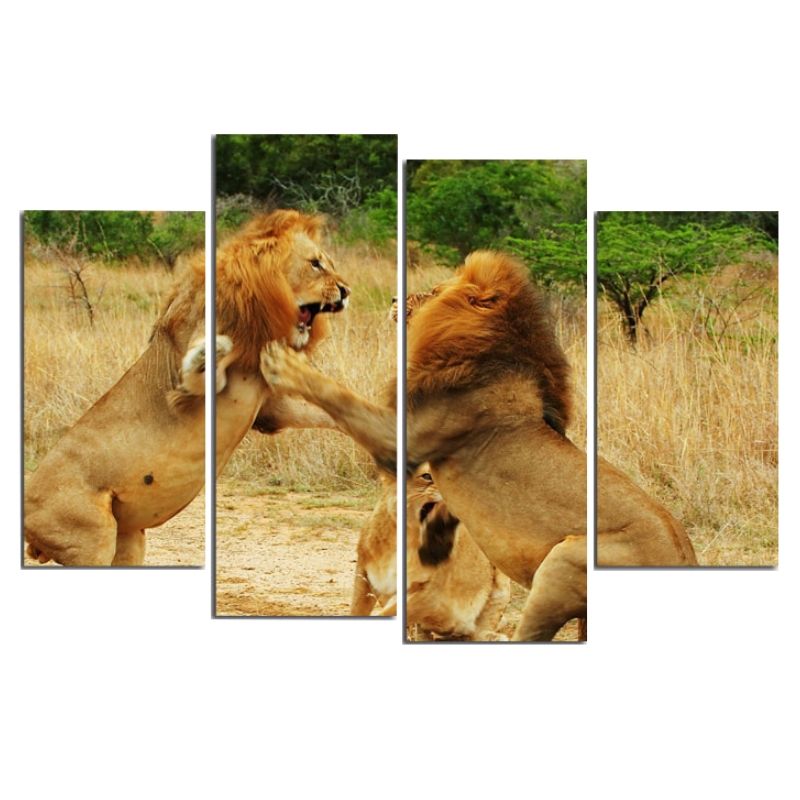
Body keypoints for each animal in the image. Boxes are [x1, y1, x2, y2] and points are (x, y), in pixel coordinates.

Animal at [24, 210, 349, 566]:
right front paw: (212, 350)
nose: (346, 290)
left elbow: (321, 411)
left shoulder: (269, 408)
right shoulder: (191, 385)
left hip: (128, 539)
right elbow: (202, 363)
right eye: (315, 264)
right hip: (90, 538)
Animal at [261, 250, 697, 640]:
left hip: (564, 562)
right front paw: (271, 411)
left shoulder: (404, 440)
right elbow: (327, 413)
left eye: (434, 291)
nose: (394, 299)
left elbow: (338, 397)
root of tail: (688, 559)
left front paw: (285, 364)